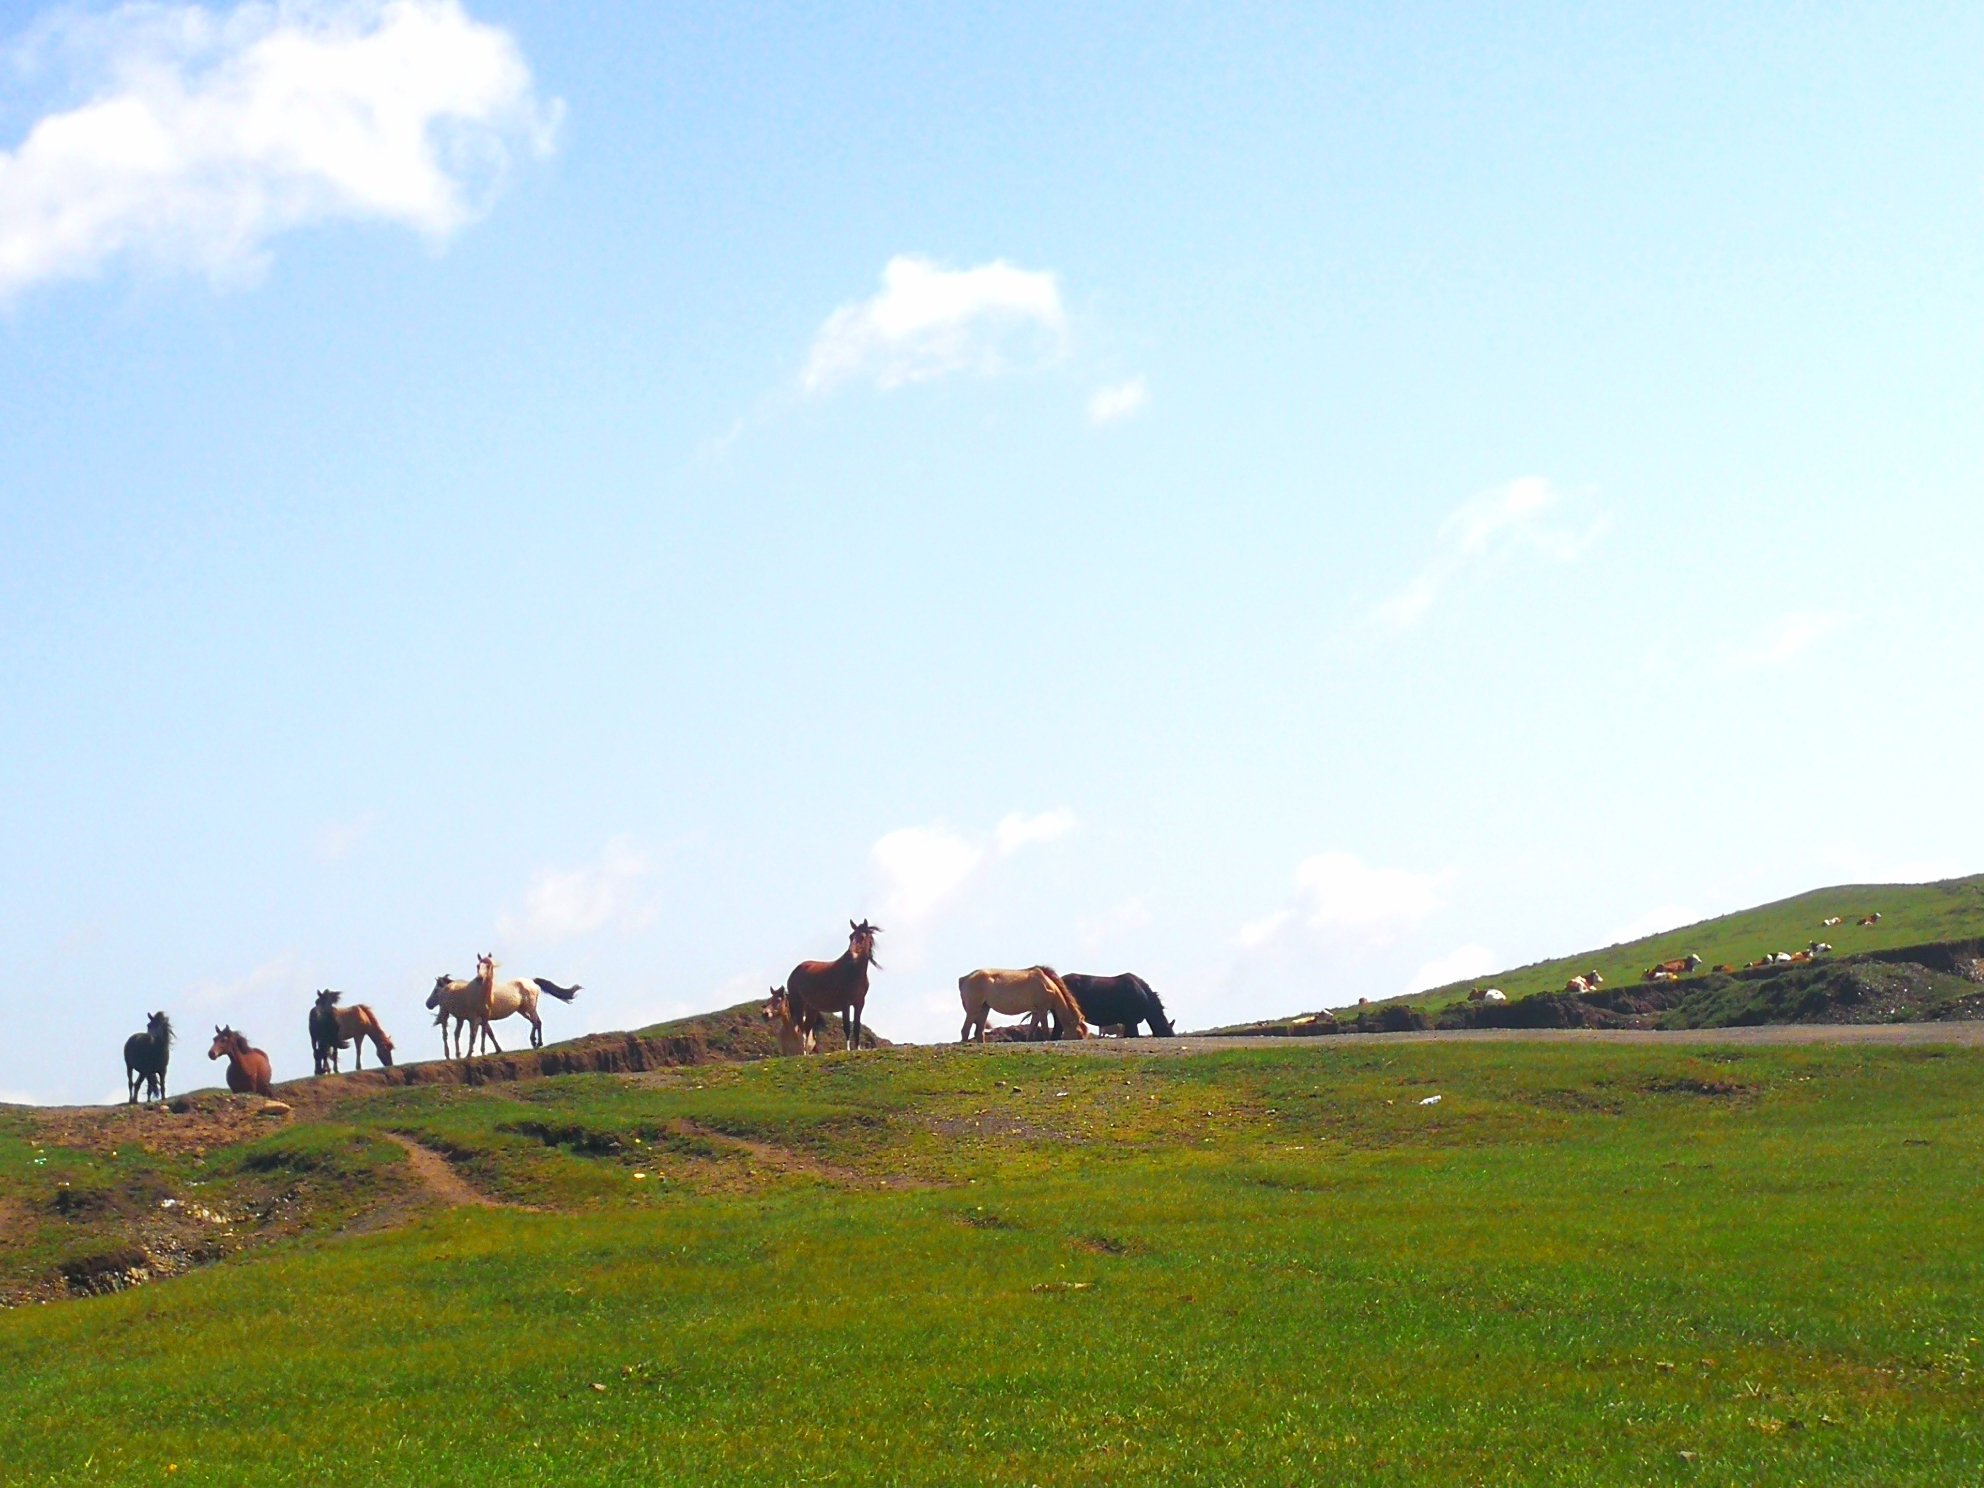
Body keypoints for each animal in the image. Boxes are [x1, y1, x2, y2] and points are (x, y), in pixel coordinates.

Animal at [956, 968, 1095, 1047]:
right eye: (1079, 1034)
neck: (1047, 985)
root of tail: (964, 978)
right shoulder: (1042, 1011)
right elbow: (1044, 1030)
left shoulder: (1035, 1012)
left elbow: (1031, 1030)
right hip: (974, 1010)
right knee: (965, 1030)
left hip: (984, 1008)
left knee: (979, 1032)